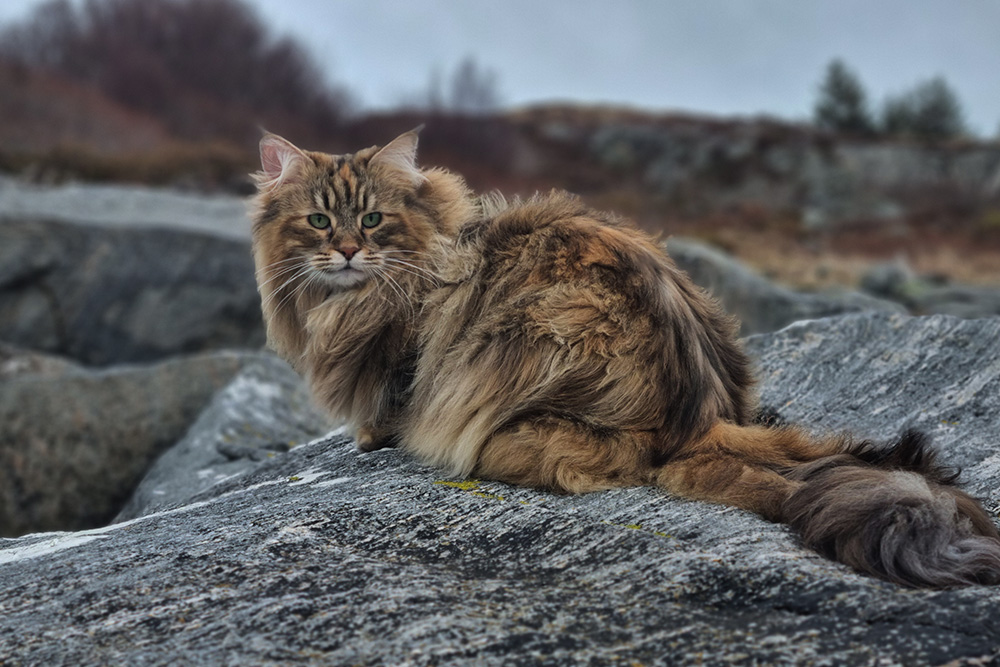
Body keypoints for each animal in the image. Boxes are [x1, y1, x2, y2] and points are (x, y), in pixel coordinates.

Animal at [248, 130, 1000, 588]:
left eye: (373, 220)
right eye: (319, 221)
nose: (347, 250)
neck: (352, 299)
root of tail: (701, 418)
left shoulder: (407, 351)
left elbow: (393, 394)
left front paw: (374, 434)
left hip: (542, 350)